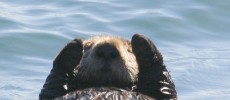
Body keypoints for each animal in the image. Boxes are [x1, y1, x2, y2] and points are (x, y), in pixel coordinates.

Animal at [38, 33, 177, 99]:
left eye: (129, 50)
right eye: (87, 46)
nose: (106, 50)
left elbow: (163, 81)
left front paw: (140, 41)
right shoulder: (51, 92)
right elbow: (55, 79)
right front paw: (74, 46)